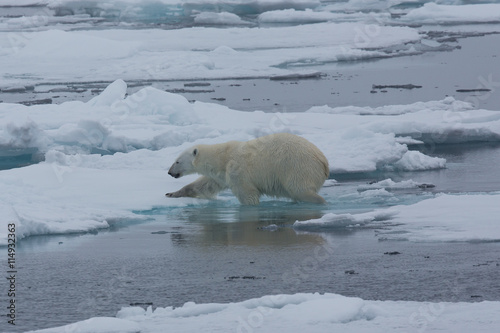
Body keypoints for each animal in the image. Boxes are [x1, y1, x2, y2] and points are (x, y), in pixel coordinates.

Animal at [166, 132, 330, 205]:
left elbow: (247, 193)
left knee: (299, 189)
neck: (222, 157)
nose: (169, 172)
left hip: (297, 167)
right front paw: (171, 193)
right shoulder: (220, 175)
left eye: (177, 161)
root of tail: (323, 161)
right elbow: (203, 185)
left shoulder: (236, 170)